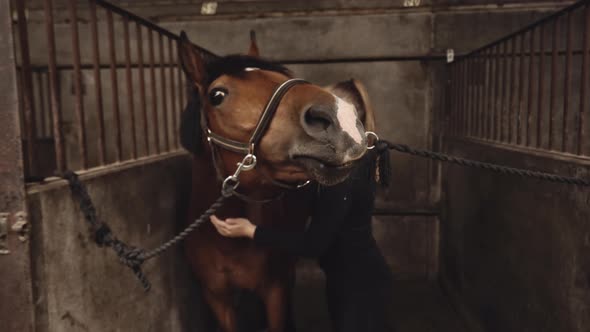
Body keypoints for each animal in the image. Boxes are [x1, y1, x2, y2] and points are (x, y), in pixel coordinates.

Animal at [178, 31, 376, 332]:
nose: (340, 117)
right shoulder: (217, 298)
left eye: (280, 75)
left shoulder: (275, 290)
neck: (227, 243)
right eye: (217, 95)